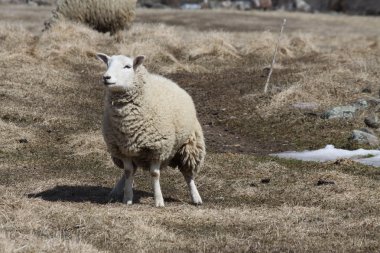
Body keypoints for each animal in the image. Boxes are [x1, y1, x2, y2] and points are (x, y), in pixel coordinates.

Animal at [96, 53, 206, 208]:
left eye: (127, 66)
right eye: (107, 64)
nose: (106, 77)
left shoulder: (157, 149)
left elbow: (155, 174)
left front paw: (159, 201)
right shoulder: (123, 148)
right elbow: (128, 172)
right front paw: (127, 198)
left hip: (190, 146)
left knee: (188, 174)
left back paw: (196, 197)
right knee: (130, 170)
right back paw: (115, 192)